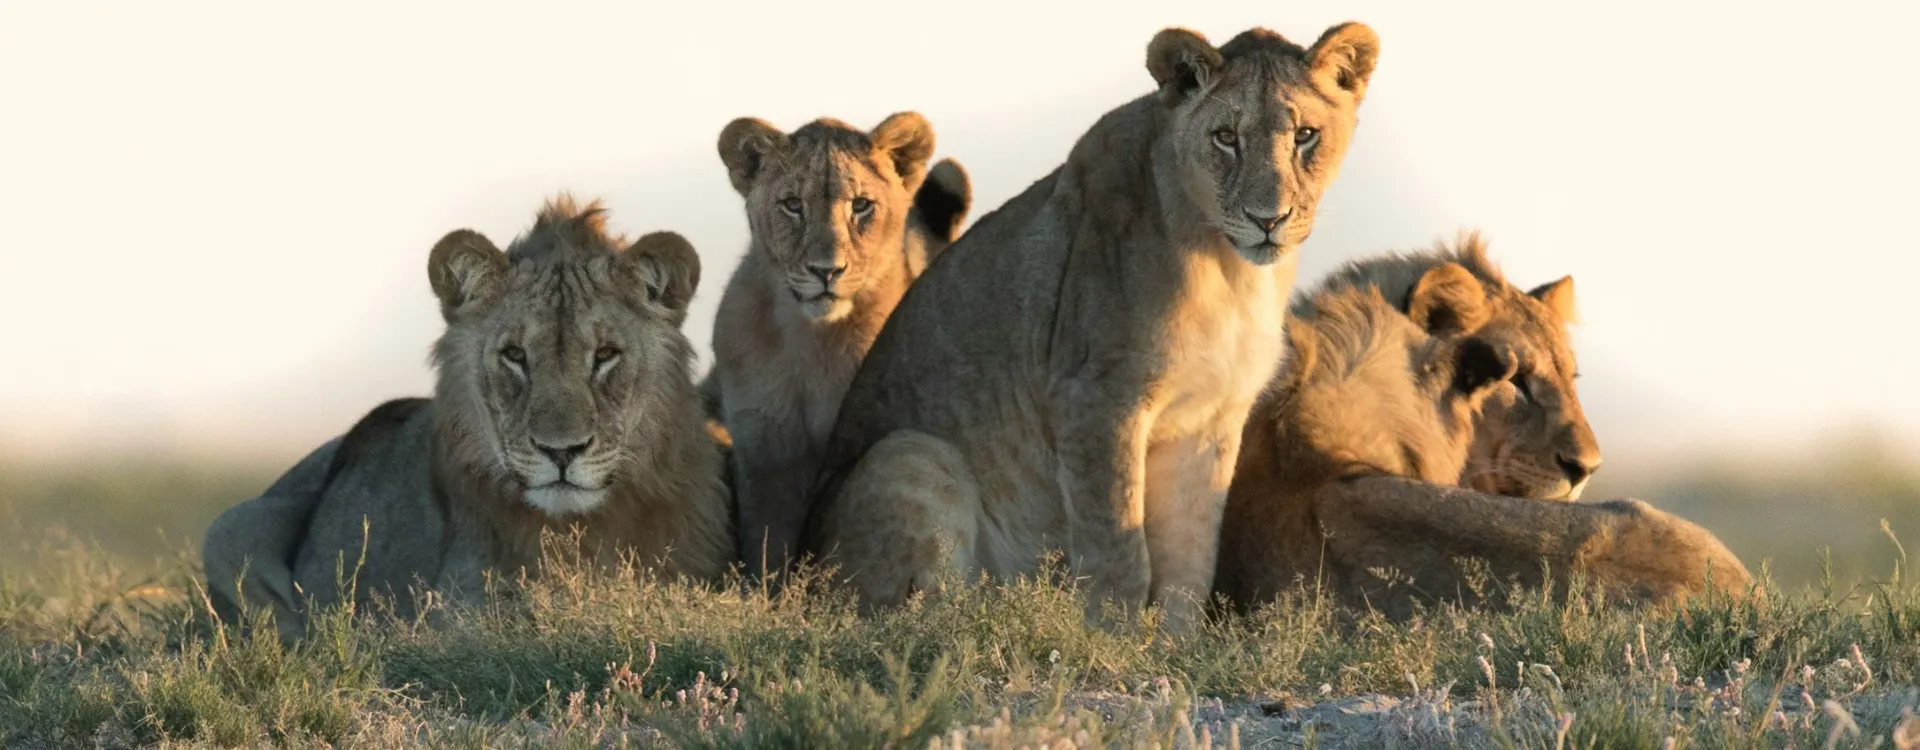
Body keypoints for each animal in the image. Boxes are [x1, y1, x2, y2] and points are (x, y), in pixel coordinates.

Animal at [202, 197, 733, 642]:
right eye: (515, 355)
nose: (561, 452)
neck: (580, 532)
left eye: (605, 355)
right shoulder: (456, 615)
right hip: (228, 529)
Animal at [703, 113, 973, 574]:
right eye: (793, 205)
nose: (826, 271)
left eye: (860, 205)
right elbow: (767, 545)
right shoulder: (764, 452)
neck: (812, 343)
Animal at [799, 23, 1382, 630]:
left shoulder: (1210, 420)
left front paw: (1177, 645)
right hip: (910, 454)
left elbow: (1189, 562)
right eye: (1225, 137)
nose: (1268, 219)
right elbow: (1118, 551)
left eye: (1306, 136)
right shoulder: (1095, 399)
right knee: (909, 622)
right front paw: (1111, 641)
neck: (1232, 272)